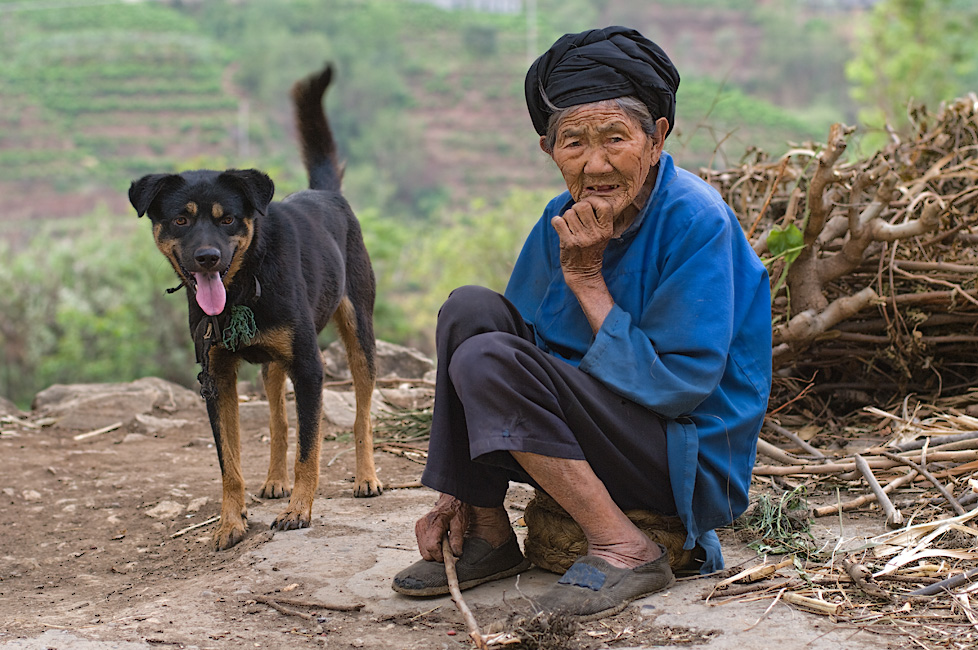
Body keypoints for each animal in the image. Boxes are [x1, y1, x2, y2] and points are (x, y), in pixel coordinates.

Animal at [126, 66, 378, 548]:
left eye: (227, 219)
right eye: (181, 220)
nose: (207, 257)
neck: (244, 286)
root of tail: (326, 194)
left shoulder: (310, 367)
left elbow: (309, 450)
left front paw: (299, 510)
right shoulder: (216, 376)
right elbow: (230, 463)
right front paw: (231, 522)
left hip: (360, 332)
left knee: (361, 414)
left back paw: (366, 477)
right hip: (272, 363)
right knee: (279, 422)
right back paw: (275, 480)